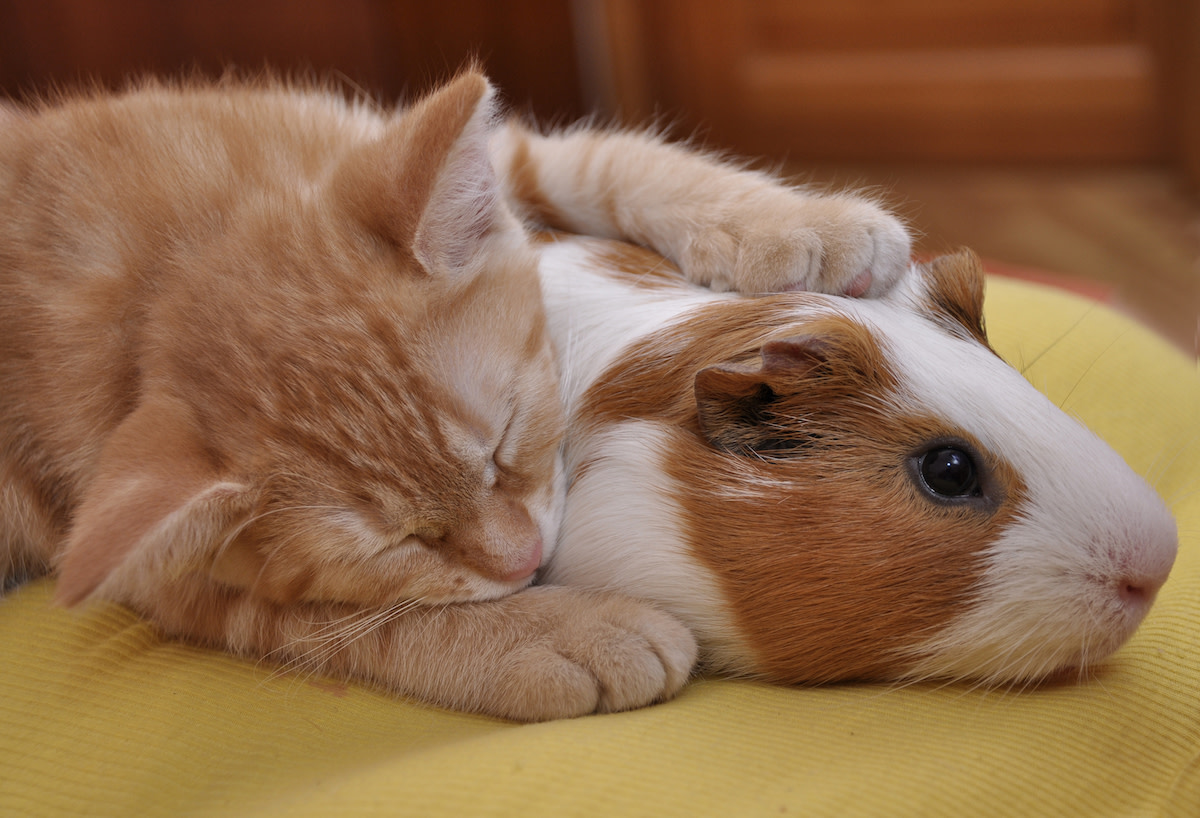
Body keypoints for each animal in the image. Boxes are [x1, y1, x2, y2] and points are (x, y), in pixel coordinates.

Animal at [0, 71, 907, 719]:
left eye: (504, 440)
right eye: (401, 541)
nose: (527, 561)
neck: (171, 251)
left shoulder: (435, 150)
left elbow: (609, 159)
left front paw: (797, 223)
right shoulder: (167, 579)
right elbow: (345, 620)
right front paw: (557, 633)